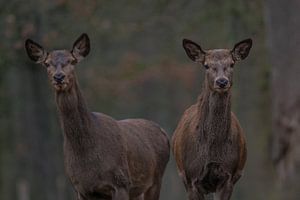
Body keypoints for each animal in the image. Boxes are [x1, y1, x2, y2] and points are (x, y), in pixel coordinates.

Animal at [24, 34, 170, 200]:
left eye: (72, 61)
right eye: (47, 63)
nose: (59, 77)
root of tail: (163, 132)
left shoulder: (121, 182)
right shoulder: (81, 188)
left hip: (156, 179)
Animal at [171, 38, 253, 200]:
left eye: (232, 63)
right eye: (206, 65)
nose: (222, 82)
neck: (212, 151)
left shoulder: (228, 176)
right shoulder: (191, 178)